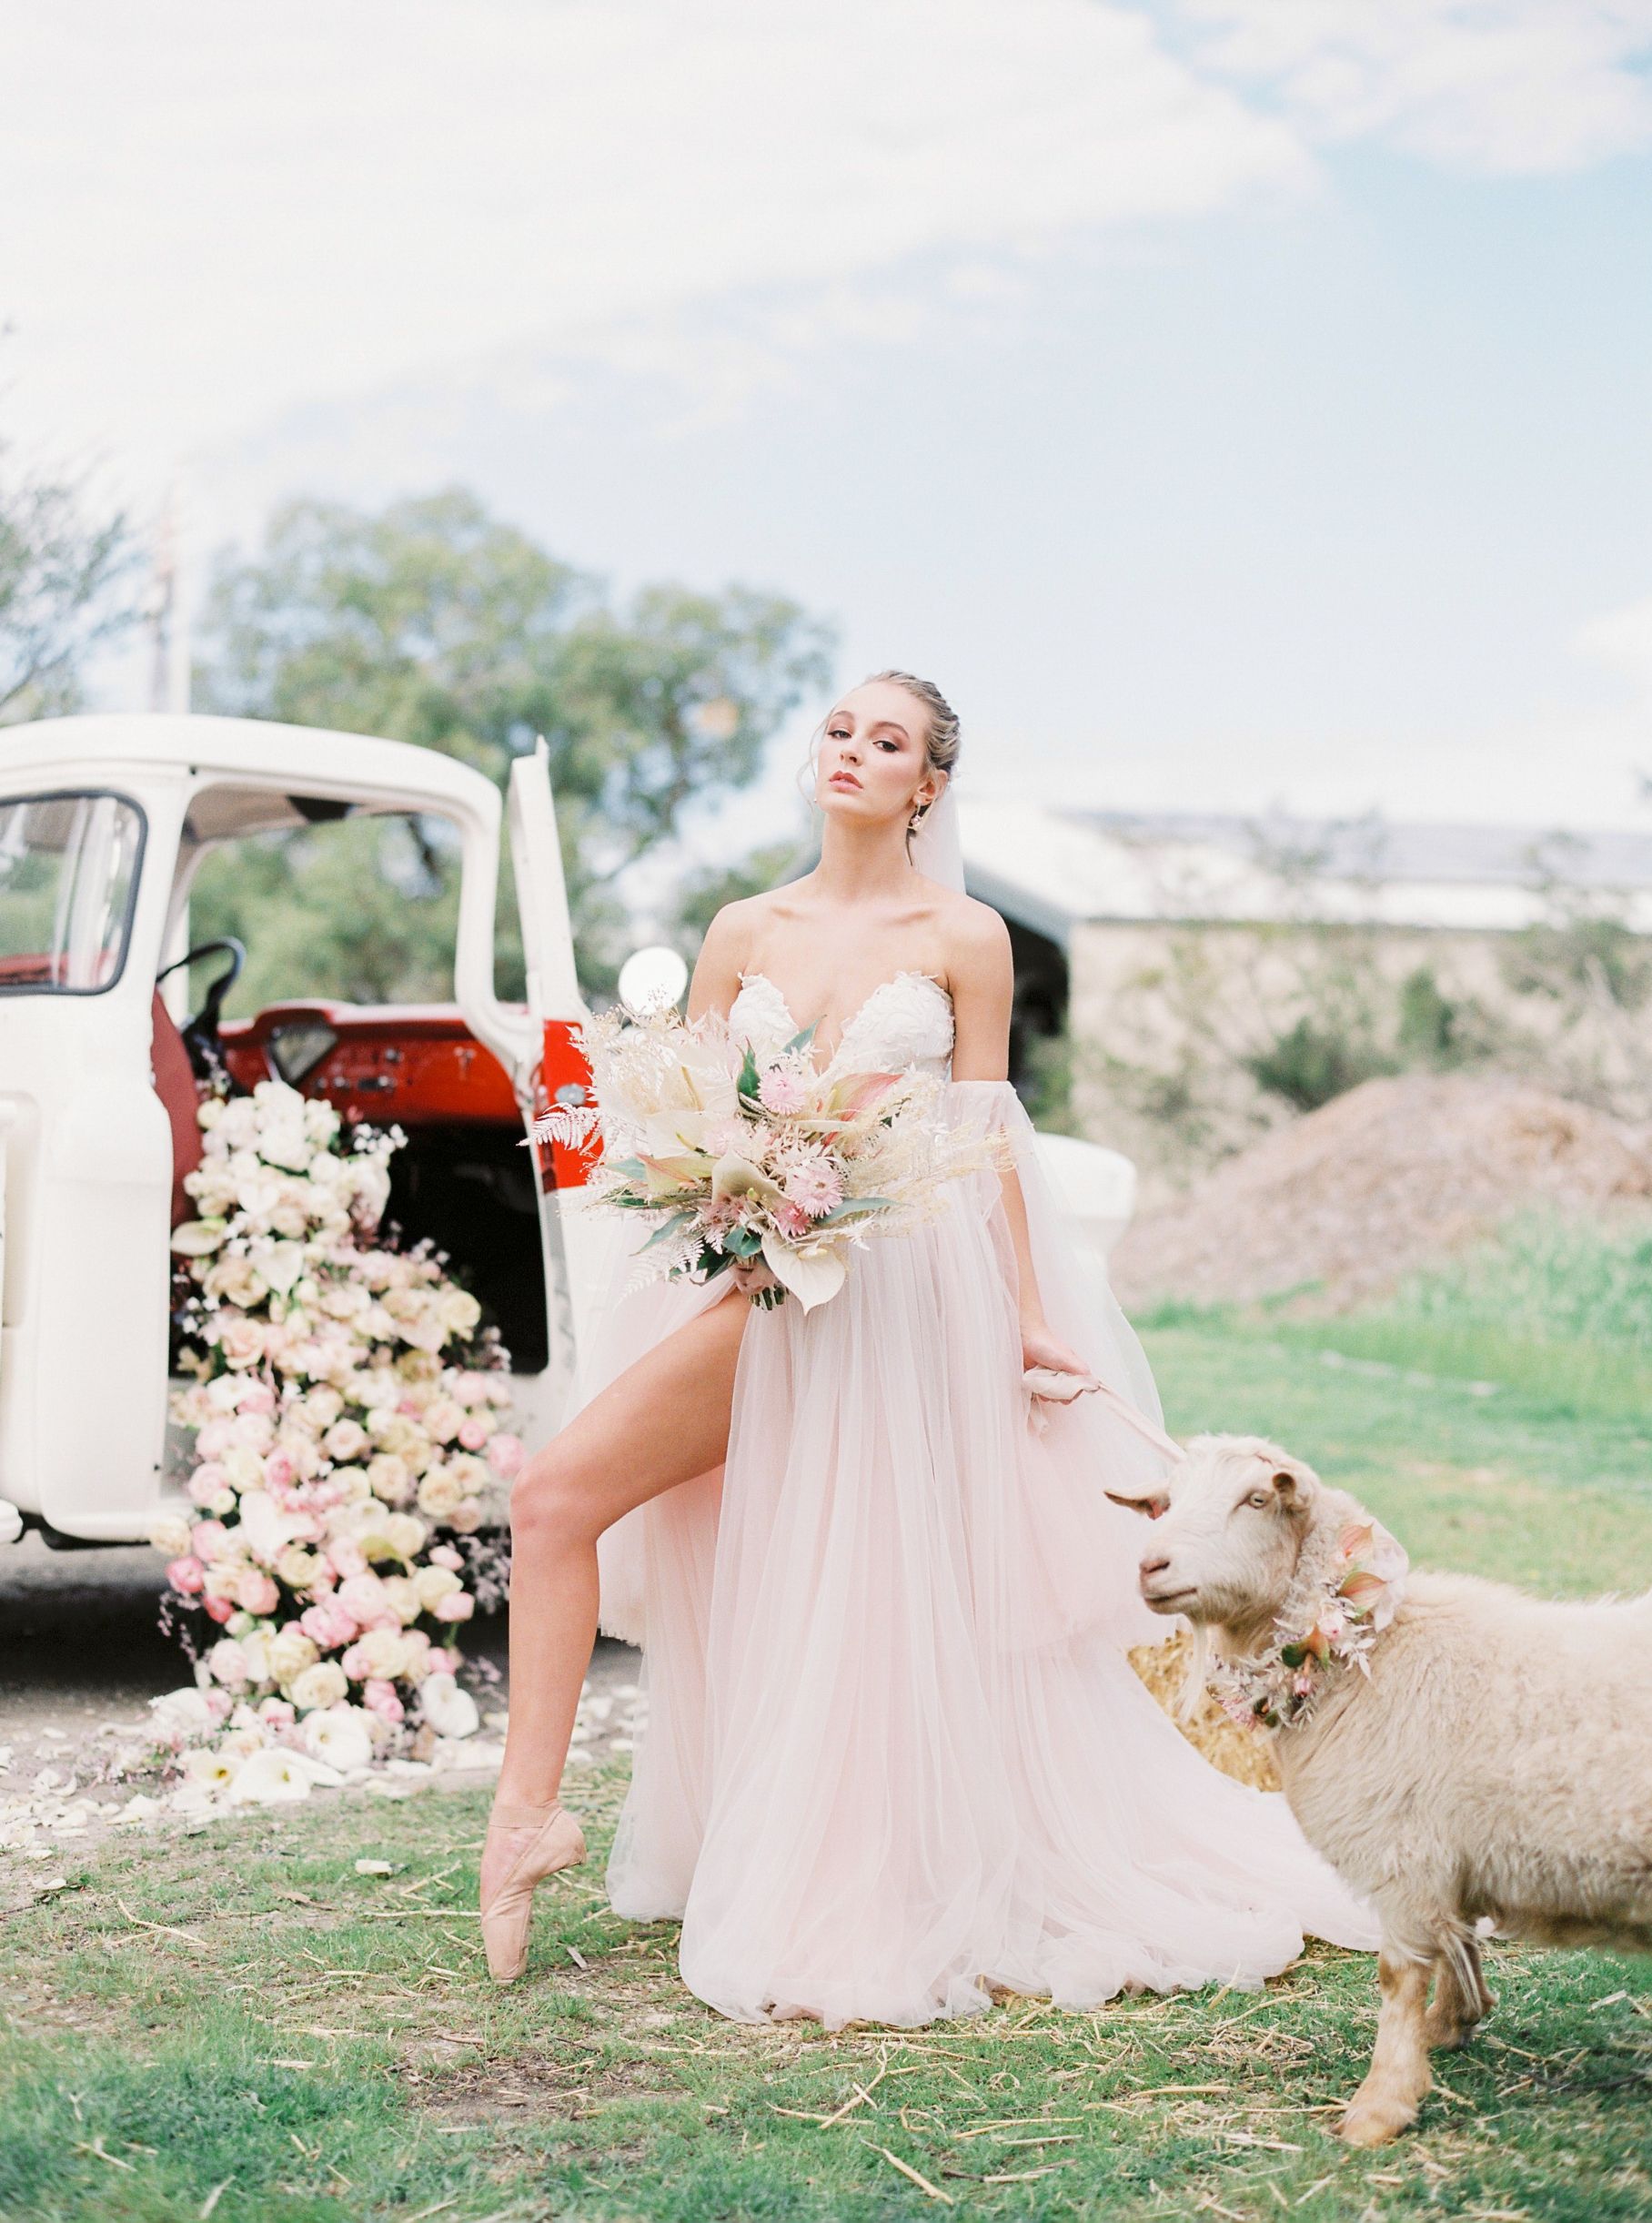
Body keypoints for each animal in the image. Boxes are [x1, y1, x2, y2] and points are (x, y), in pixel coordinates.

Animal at [1112, 1431, 1652, 2143]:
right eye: (1166, 1502)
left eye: (1255, 1500)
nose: (1151, 1565)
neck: (1368, 1656)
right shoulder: (1446, 1853)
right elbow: (1459, 1941)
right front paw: (1453, 2021)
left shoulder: (1404, 1853)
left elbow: (1399, 1977)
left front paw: (1379, 2108)